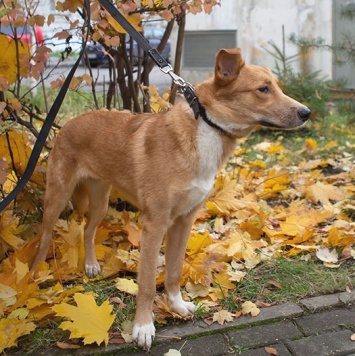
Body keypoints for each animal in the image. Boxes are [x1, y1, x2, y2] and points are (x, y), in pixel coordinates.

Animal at [31, 48, 312, 350]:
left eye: (278, 87)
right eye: (263, 89)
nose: (306, 112)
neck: (206, 130)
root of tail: (68, 123)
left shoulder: (183, 221)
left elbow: (174, 271)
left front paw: (176, 306)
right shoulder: (154, 224)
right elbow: (146, 284)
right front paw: (143, 327)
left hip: (100, 202)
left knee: (87, 229)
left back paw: (91, 265)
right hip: (57, 198)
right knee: (44, 238)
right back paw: (33, 278)